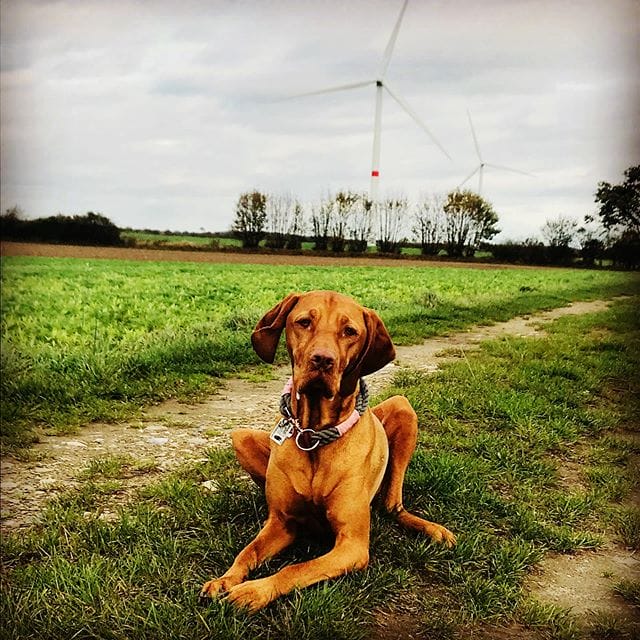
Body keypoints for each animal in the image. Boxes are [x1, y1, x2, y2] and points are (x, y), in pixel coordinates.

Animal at [201, 290, 455, 611]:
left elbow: (295, 568)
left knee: (393, 507)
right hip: (240, 437)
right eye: (304, 322)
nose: (322, 360)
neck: (313, 436)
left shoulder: (352, 545)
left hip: (403, 406)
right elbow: (249, 551)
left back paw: (433, 529)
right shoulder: (282, 523)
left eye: (350, 331)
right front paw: (225, 579)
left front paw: (253, 592)